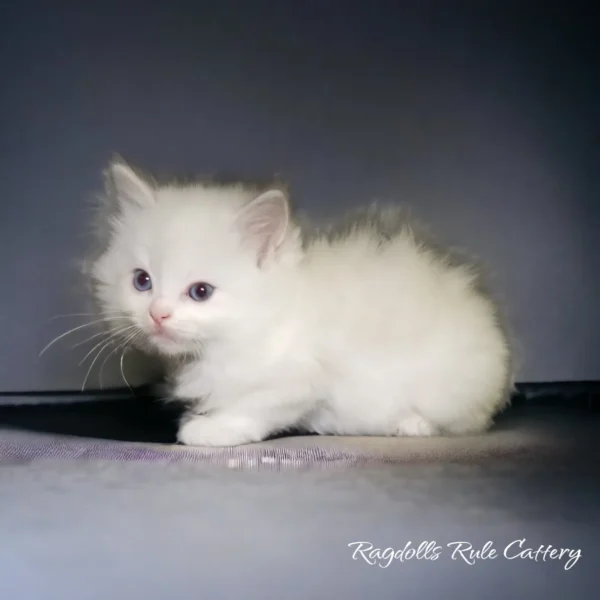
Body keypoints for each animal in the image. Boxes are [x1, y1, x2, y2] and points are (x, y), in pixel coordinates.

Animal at [86, 159, 512, 446]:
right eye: (142, 281)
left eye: (200, 292)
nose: (157, 314)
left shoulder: (302, 378)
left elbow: (253, 406)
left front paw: (208, 429)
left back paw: (411, 424)